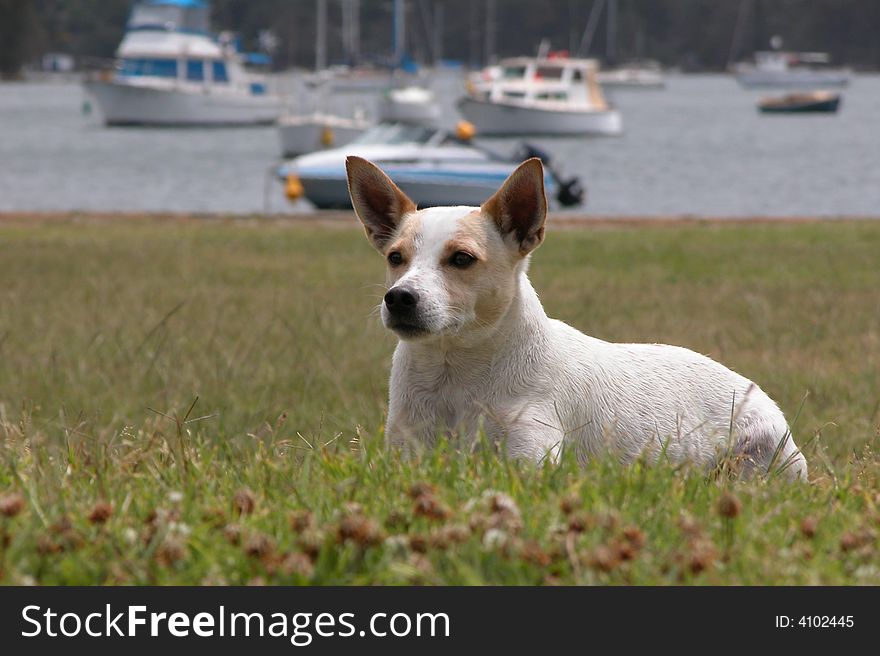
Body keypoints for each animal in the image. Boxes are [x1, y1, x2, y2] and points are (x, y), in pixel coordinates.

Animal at [342, 156, 804, 480]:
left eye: (461, 259)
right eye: (395, 258)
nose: (399, 297)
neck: (455, 372)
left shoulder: (529, 457)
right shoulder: (406, 448)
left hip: (757, 456)